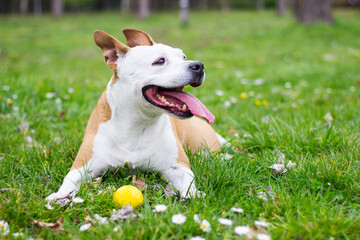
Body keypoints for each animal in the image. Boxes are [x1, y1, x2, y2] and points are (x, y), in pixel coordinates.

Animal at [46, 28, 224, 204]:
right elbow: (69, 179)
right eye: (160, 61)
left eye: (183, 57)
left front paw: (193, 194)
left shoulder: (177, 166)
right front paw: (60, 195)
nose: (199, 65)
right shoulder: (83, 165)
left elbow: (188, 182)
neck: (139, 122)